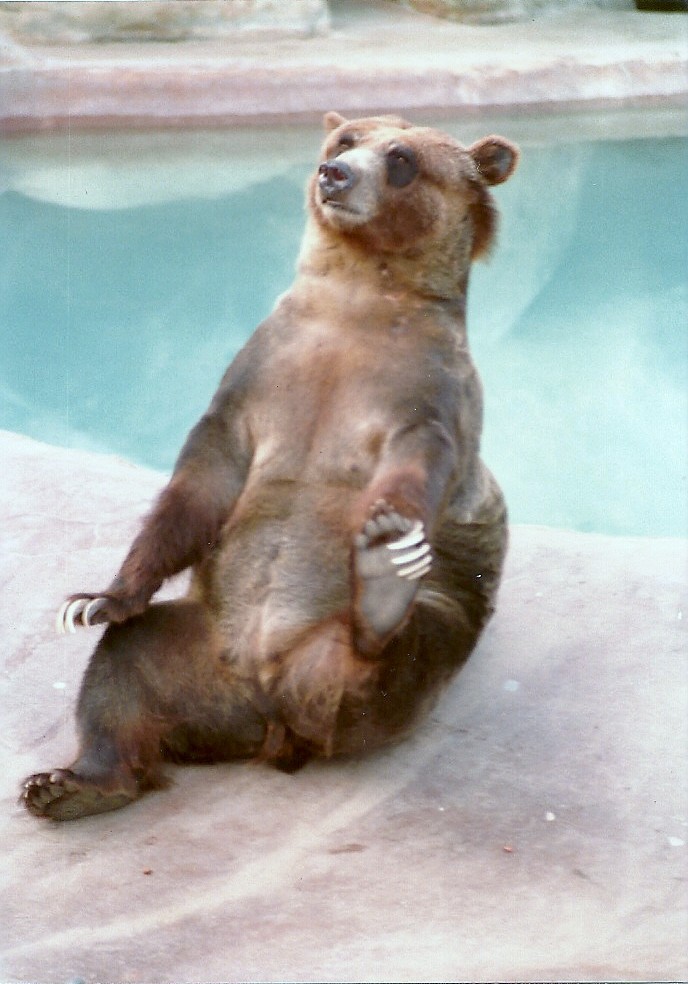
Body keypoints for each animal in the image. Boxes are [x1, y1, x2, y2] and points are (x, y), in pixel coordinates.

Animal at [22, 112, 519, 820]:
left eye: (401, 159)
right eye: (344, 140)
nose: (335, 175)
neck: (359, 303)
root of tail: (270, 709)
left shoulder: (425, 393)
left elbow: (419, 460)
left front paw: (387, 530)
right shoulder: (262, 377)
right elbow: (201, 482)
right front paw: (94, 599)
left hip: (404, 639)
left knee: (403, 660)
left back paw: (379, 591)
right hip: (198, 649)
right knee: (124, 667)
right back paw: (72, 783)